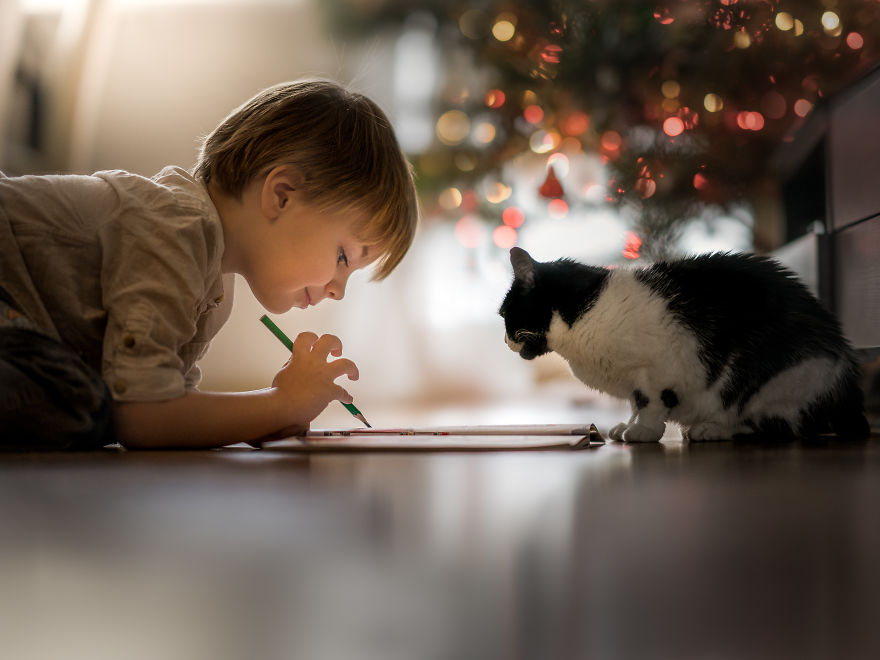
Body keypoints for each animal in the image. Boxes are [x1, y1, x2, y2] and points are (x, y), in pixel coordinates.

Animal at [498, 248, 868, 444]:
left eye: (504, 314)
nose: (504, 341)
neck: (583, 316)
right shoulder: (635, 379)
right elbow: (634, 402)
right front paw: (627, 426)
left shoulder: (658, 368)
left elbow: (649, 402)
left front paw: (644, 431)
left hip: (783, 379)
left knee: (781, 427)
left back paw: (713, 429)